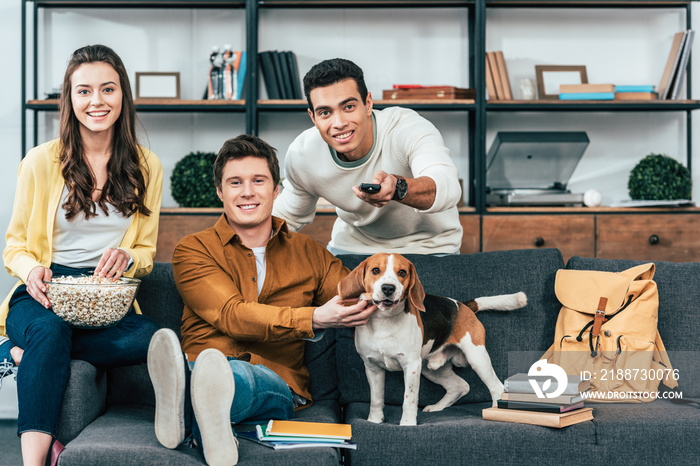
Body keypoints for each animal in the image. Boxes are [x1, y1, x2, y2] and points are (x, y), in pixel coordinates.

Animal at [340, 253, 524, 424]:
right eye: (375, 270)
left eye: (402, 272)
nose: (388, 288)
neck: (384, 321)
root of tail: (462, 305)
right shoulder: (372, 367)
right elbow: (376, 399)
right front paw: (374, 421)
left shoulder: (412, 366)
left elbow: (409, 400)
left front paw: (407, 424)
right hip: (431, 368)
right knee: (461, 386)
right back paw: (437, 407)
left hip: (476, 357)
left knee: (497, 387)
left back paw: (495, 412)